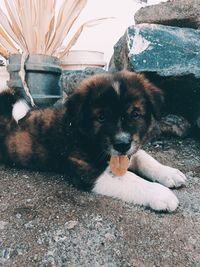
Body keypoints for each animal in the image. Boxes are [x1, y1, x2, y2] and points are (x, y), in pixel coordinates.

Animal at [0, 70, 186, 211]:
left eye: (135, 114)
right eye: (101, 117)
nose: (122, 145)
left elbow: (143, 157)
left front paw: (168, 172)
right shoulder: (89, 172)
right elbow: (129, 178)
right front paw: (160, 193)